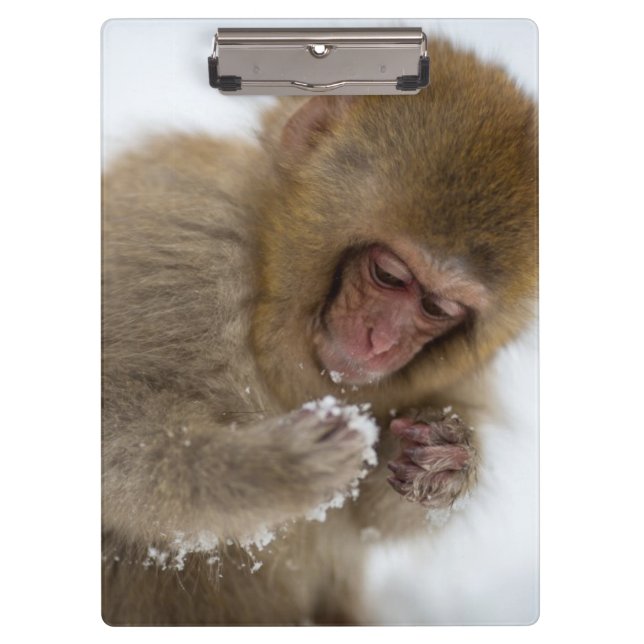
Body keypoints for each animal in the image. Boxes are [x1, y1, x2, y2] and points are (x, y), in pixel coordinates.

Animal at [101, 39, 537, 625]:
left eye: (437, 307)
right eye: (389, 275)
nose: (381, 342)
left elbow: (367, 518)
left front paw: (446, 462)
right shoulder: (179, 237)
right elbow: (112, 420)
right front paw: (267, 468)